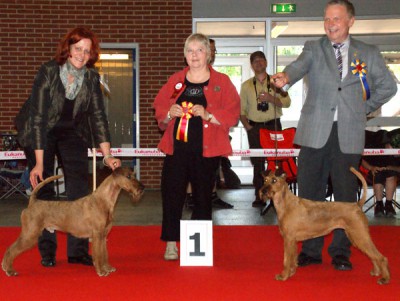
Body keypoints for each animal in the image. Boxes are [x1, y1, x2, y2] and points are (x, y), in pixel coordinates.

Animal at [1, 166, 145, 276]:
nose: (142, 187)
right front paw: (101, 271)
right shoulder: (97, 235)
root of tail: (33, 202)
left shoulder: (103, 236)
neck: (103, 201)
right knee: (11, 249)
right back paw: (9, 270)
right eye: (128, 176)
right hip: (30, 234)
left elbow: (104, 254)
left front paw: (107, 268)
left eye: (133, 174)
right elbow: (98, 255)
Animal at [260, 166, 390, 284]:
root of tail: (357, 205)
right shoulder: (292, 241)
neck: (286, 204)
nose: (263, 191)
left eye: (274, 180)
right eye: (265, 180)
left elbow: (286, 260)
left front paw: (283, 276)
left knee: (380, 257)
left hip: (359, 235)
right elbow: (292, 260)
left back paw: (385, 278)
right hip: (357, 237)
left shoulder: (288, 239)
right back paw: (376, 272)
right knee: (372, 256)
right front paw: (291, 273)